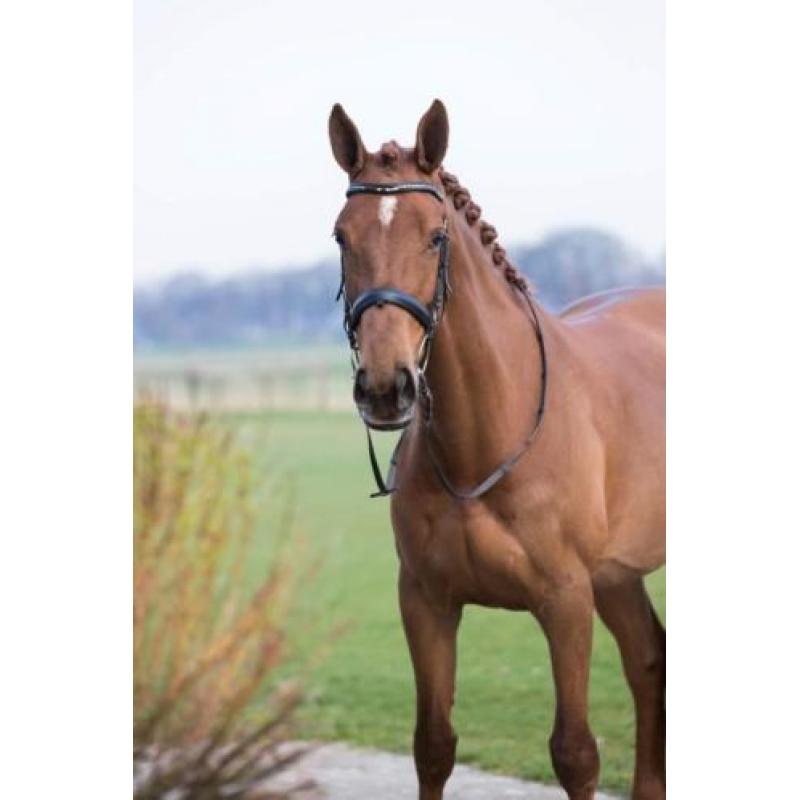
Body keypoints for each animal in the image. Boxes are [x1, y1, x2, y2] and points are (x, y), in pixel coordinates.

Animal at [327, 99, 665, 800]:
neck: (484, 444)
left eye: (436, 236)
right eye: (342, 236)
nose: (385, 387)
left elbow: (575, 753)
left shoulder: (566, 603)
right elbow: (432, 746)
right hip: (619, 575)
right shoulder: (426, 602)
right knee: (650, 662)